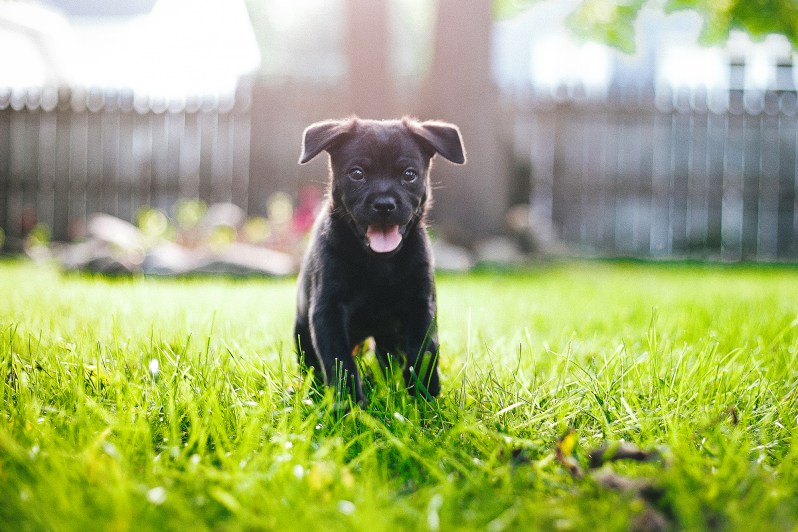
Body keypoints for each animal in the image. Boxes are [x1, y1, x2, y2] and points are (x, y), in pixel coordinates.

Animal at [296, 116, 466, 404]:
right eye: (357, 173)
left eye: (409, 174)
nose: (385, 204)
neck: (379, 264)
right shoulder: (327, 309)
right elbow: (339, 360)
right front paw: (348, 404)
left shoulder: (420, 305)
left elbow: (424, 352)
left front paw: (424, 399)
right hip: (301, 329)